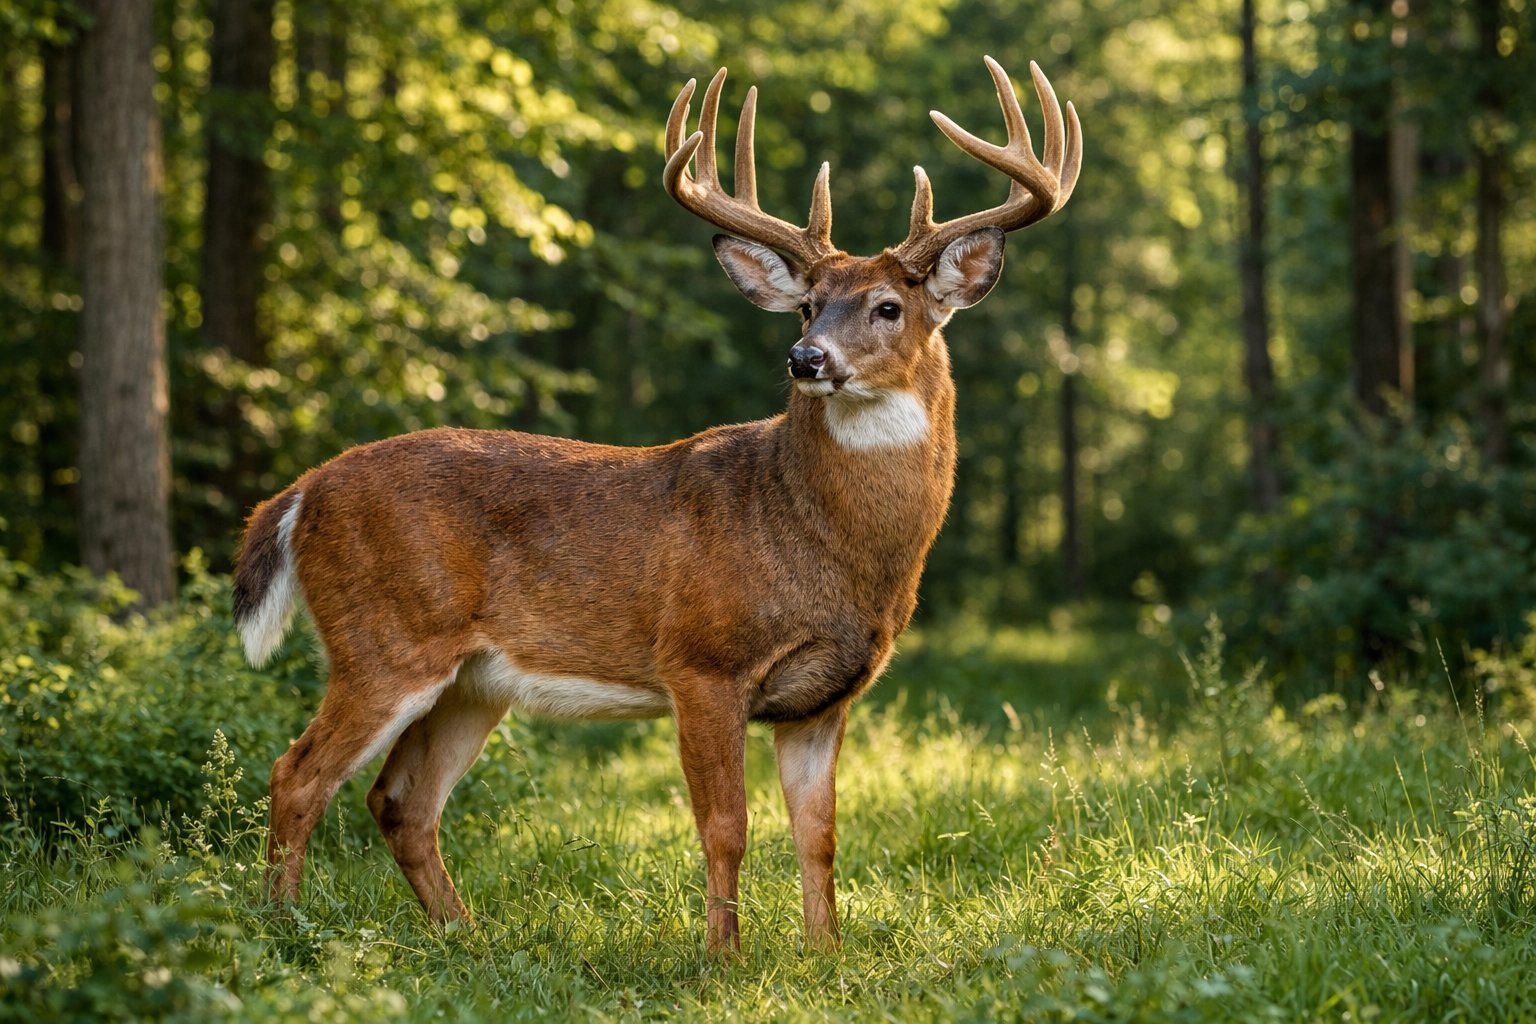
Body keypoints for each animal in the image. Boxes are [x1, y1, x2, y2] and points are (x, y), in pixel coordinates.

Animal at [233, 56, 1081, 952]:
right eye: (809, 304)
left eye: (889, 307)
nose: (805, 357)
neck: (816, 538)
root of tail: (299, 493)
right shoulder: (701, 660)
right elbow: (726, 826)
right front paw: (723, 959)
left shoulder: (824, 696)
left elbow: (818, 834)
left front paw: (827, 955)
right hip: (383, 638)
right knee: (298, 774)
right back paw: (282, 930)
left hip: (471, 680)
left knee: (401, 800)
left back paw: (467, 936)